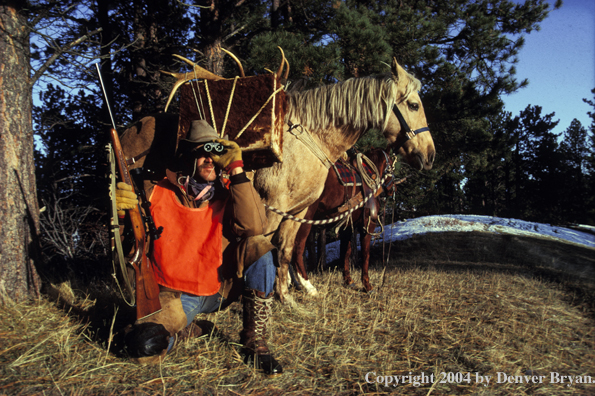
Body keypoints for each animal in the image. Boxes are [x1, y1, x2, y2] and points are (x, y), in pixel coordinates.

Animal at [292, 148, 396, 294]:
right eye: (391, 165)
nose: (393, 189)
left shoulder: (347, 227)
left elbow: (345, 252)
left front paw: (348, 281)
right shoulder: (368, 225)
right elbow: (365, 254)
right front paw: (367, 285)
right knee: (297, 247)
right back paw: (307, 285)